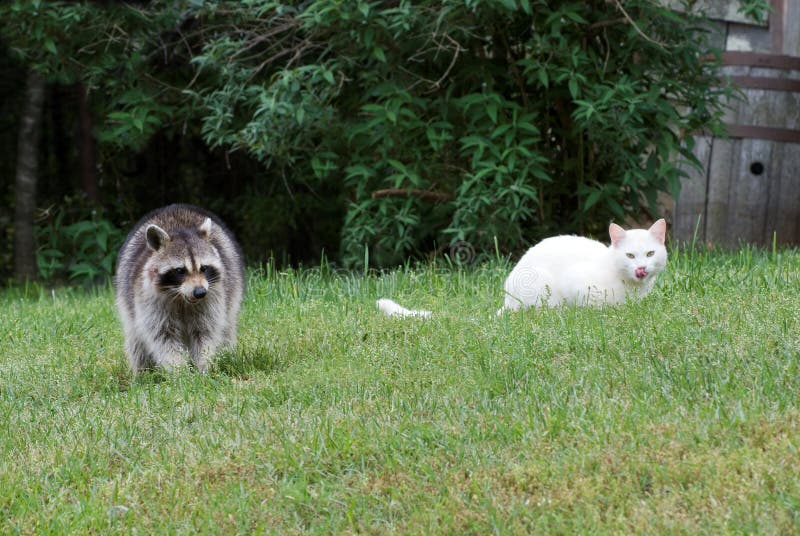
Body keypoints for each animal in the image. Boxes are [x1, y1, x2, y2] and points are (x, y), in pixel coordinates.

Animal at [114, 203, 242, 374]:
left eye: (204, 268)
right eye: (180, 270)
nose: (200, 292)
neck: (183, 298)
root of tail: (176, 206)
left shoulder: (213, 296)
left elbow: (205, 332)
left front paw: (203, 365)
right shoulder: (148, 300)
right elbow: (163, 336)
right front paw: (179, 370)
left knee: (227, 328)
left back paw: (228, 355)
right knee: (136, 340)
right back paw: (142, 373)